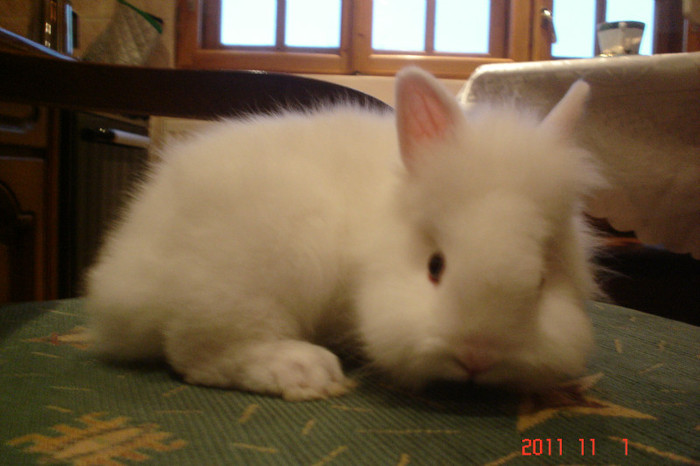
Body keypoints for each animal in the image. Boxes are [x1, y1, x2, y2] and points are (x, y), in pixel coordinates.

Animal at [86, 66, 600, 400]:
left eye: (541, 280)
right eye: (435, 267)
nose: (478, 357)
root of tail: (122, 270)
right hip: (253, 269)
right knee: (199, 354)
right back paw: (305, 372)